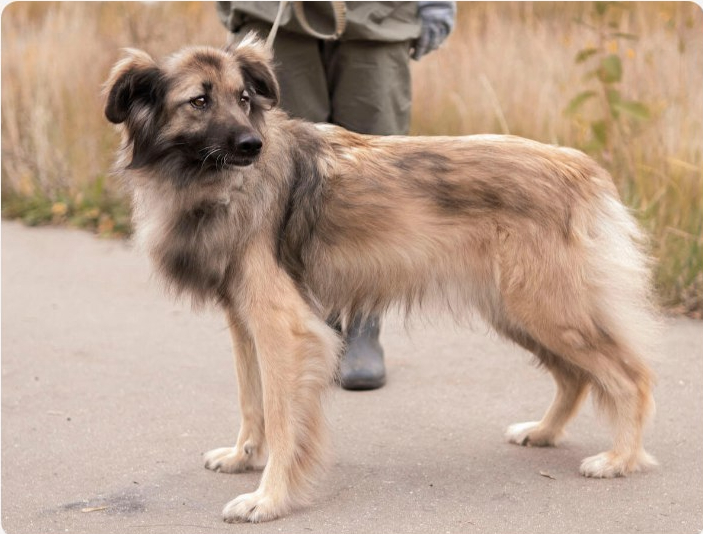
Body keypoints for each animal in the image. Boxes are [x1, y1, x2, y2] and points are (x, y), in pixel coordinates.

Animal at [104, 35, 660, 524]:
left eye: (243, 98)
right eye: (199, 100)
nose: (252, 144)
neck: (211, 182)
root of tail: (580, 168)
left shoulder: (284, 329)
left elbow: (282, 417)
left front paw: (269, 498)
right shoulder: (245, 324)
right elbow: (251, 400)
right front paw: (243, 456)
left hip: (547, 311)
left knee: (629, 377)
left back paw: (620, 459)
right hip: (518, 313)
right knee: (576, 376)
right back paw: (543, 432)